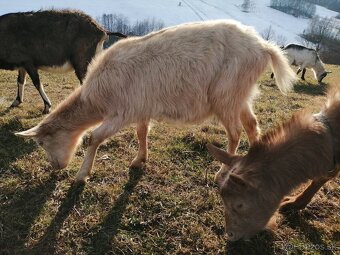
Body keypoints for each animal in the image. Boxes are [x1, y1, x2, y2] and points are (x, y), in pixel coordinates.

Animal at [15, 20, 294, 183]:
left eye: (41, 142)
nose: (55, 168)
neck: (97, 95)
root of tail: (264, 47)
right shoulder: (141, 107)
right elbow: (141, 133)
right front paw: (140, 160)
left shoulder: (122, 112)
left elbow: (94, 137)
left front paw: (82, 175)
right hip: (240, 95)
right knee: (252, 125)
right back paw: (256, 165)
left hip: (225, 96)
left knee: (235, 132)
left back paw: (222, 172)